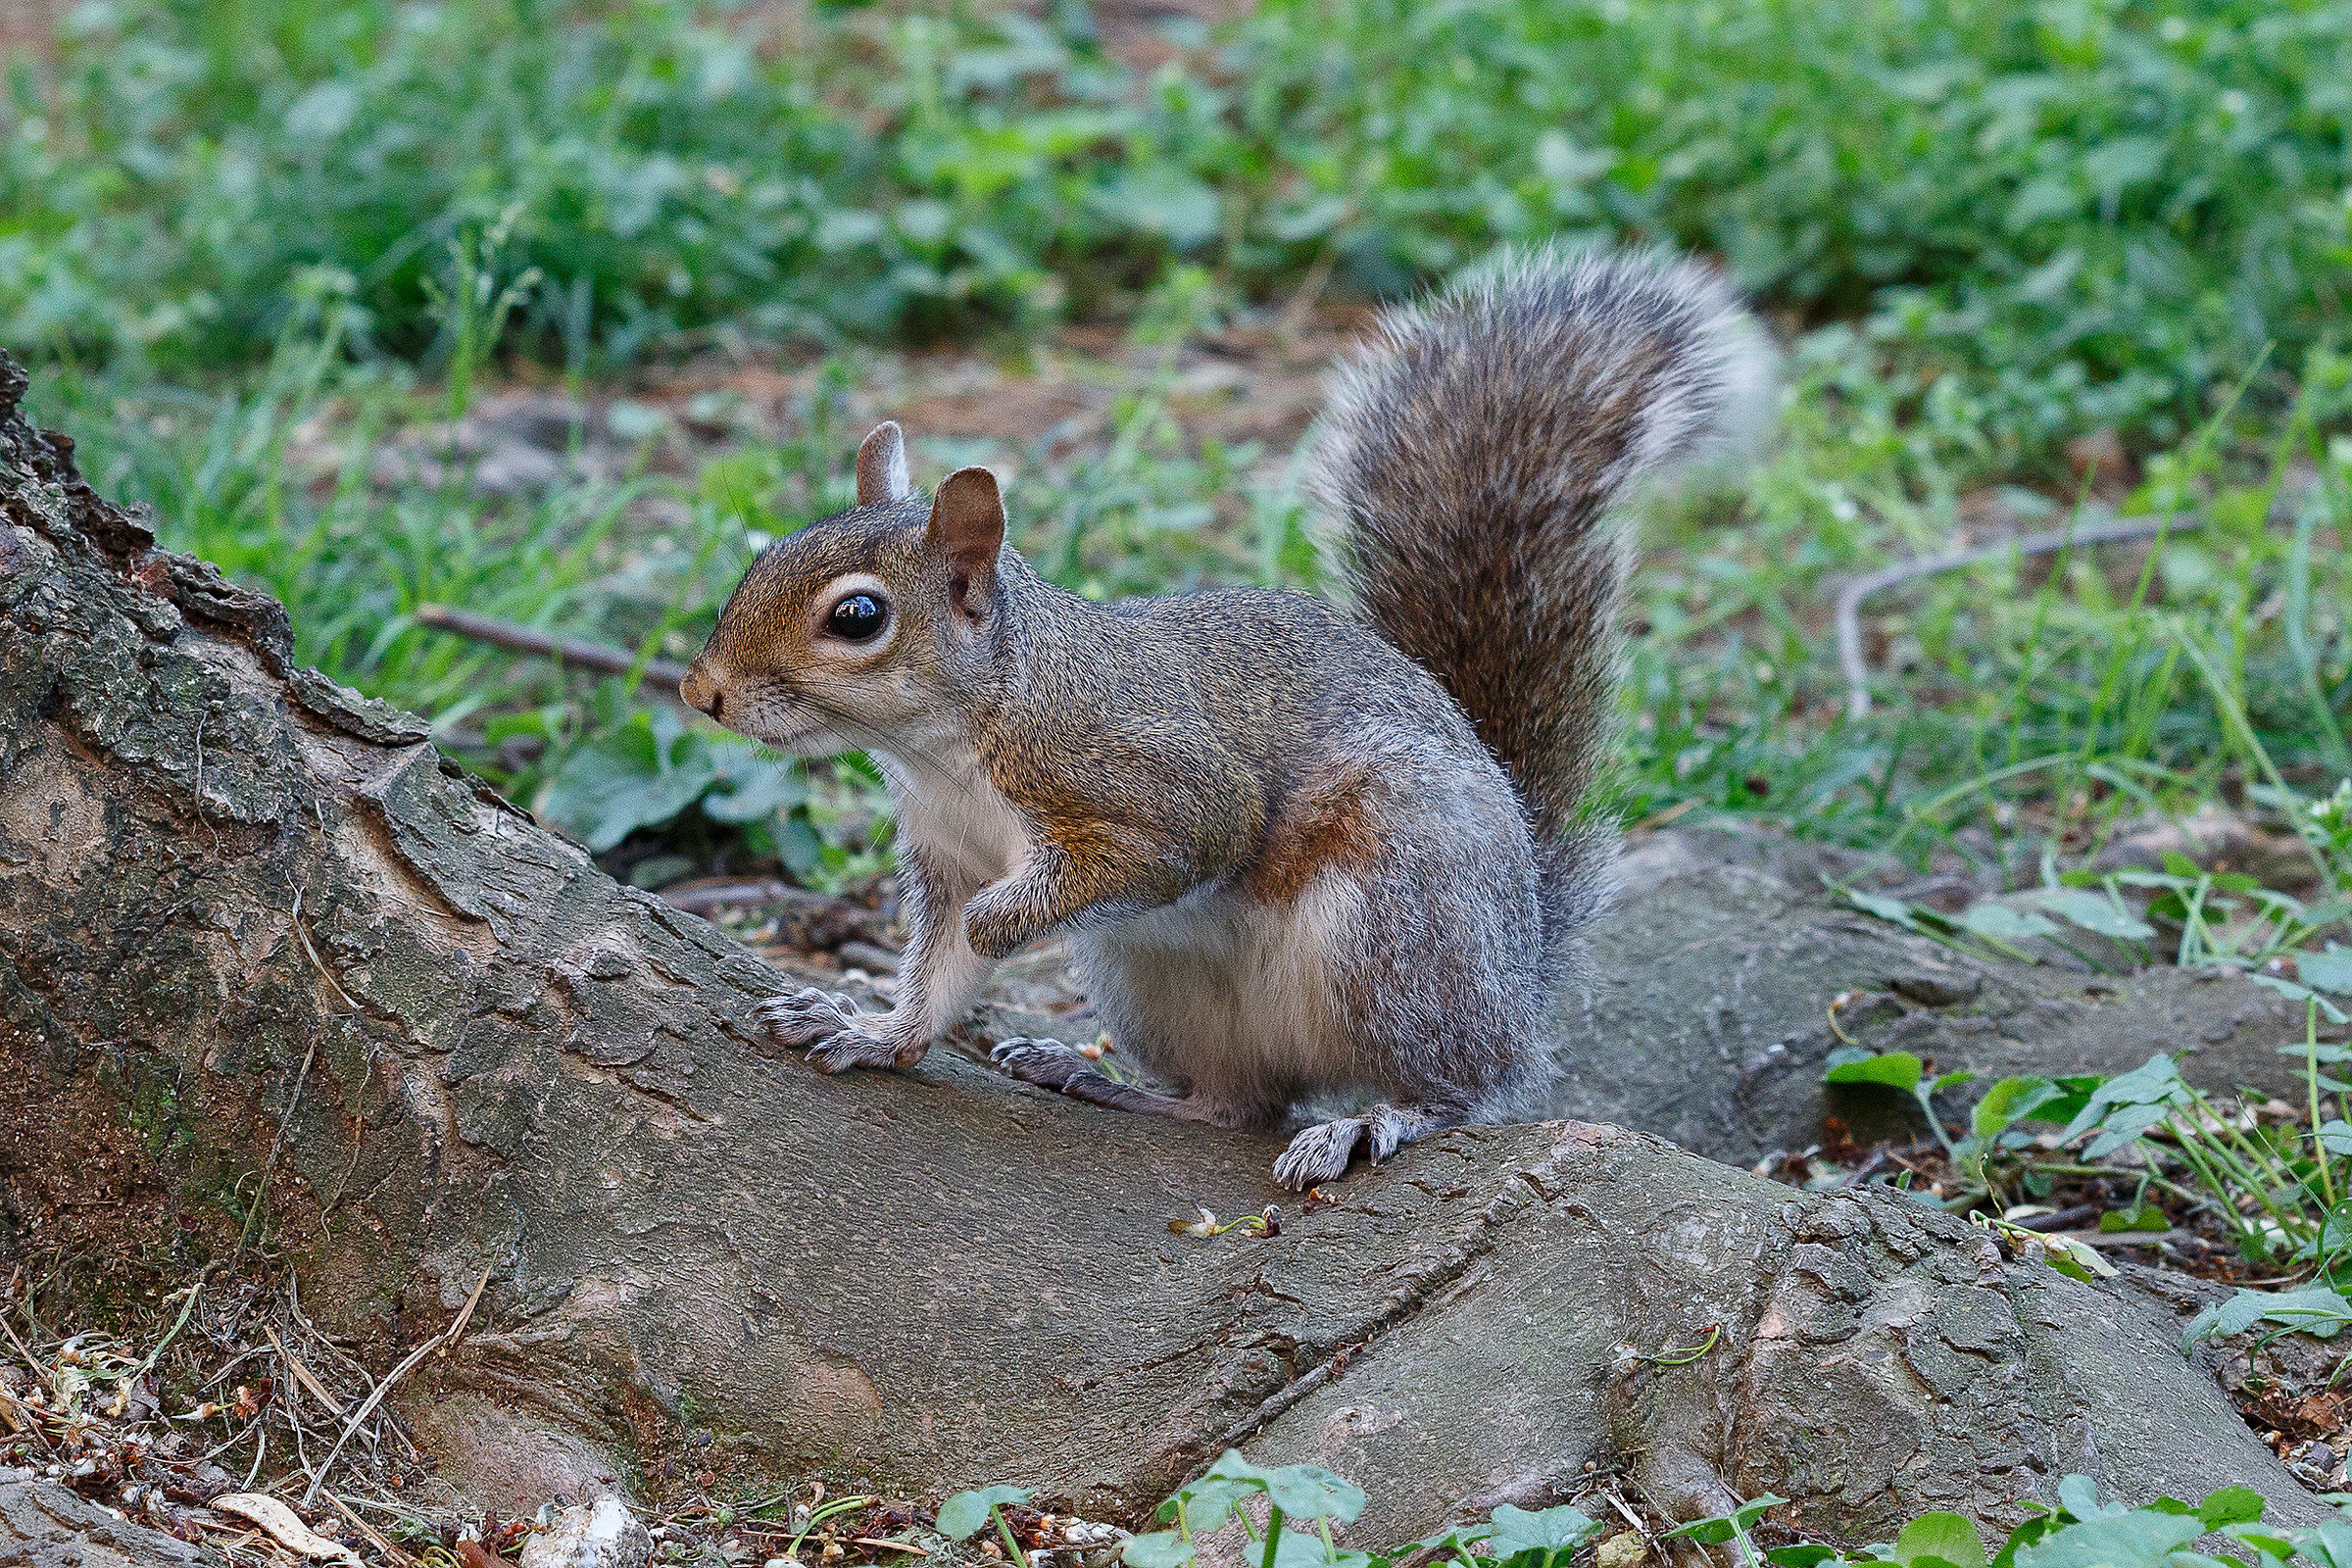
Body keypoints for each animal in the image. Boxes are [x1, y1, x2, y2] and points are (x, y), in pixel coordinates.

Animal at [680, 246, 1772, 1188]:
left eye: (858, 618)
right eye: (768, 551)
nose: (703, 692)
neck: (951, 744)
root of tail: (1521, 963)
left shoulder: (1148, 779)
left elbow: (1177, 843)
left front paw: (1004, 921)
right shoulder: (945, 854)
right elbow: (939, 970)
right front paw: (873, 1031)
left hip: (1394, 932)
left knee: (1463, 1086)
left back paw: (1377, 1119)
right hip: (1157, 985)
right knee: (1235, 1105)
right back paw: (1100, 1080)